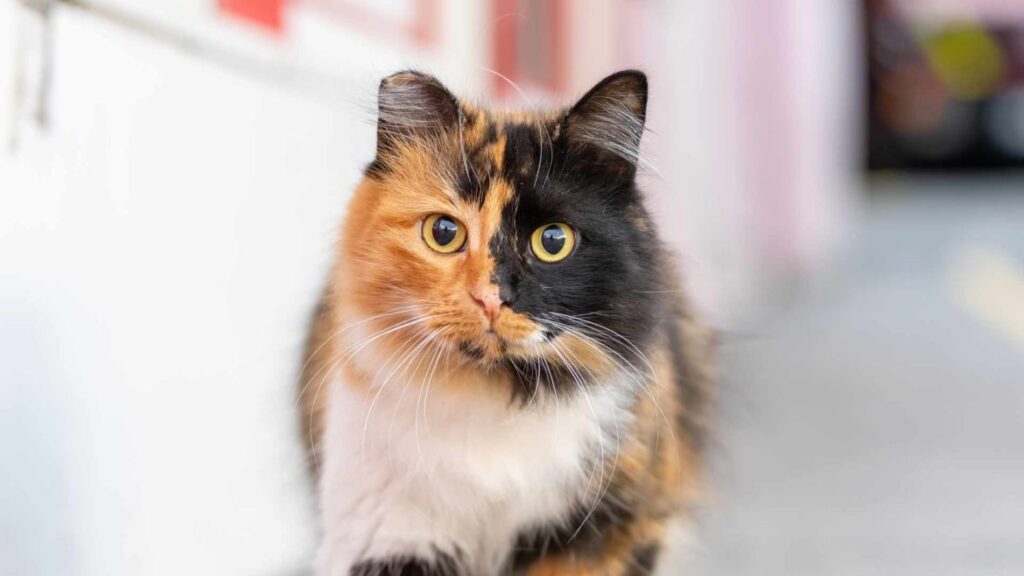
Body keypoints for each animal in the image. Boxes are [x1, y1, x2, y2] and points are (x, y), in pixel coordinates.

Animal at [296, 69, 712, 569]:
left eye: (553, 241)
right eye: (443, 233)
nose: (491, 298)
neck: (492, 391)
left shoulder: (605, 530)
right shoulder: (386, 532)